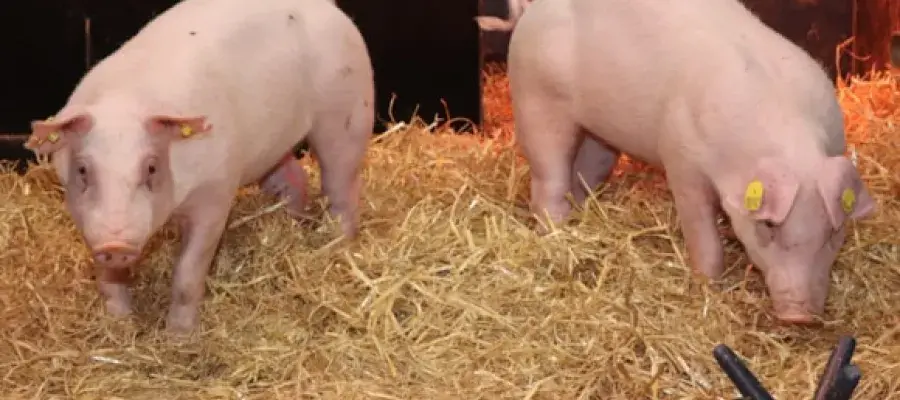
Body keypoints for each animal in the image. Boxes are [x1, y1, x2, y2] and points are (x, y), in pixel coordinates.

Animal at [23, 0, 374, 335]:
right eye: (83, 170)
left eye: (151, 168)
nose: (115, 244)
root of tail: (328, 6)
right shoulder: (82, 214)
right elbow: (108, 277)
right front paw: (119, 323)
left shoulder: (216, 194)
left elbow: (188, 272)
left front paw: (179, 337)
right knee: (293, 177)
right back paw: (295, 223)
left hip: (348, 112)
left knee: (342, 187)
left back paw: (335, 245)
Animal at [507, 0, 876, 323]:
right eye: (770, 226)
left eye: (833, 231)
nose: (799, 318)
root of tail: (534, 11)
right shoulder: (682, 160)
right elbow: (702, 235)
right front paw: (708, 287)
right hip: (536, 99)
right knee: (548, 180)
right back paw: (556, 234)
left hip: (600, 134)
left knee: (585, 171)